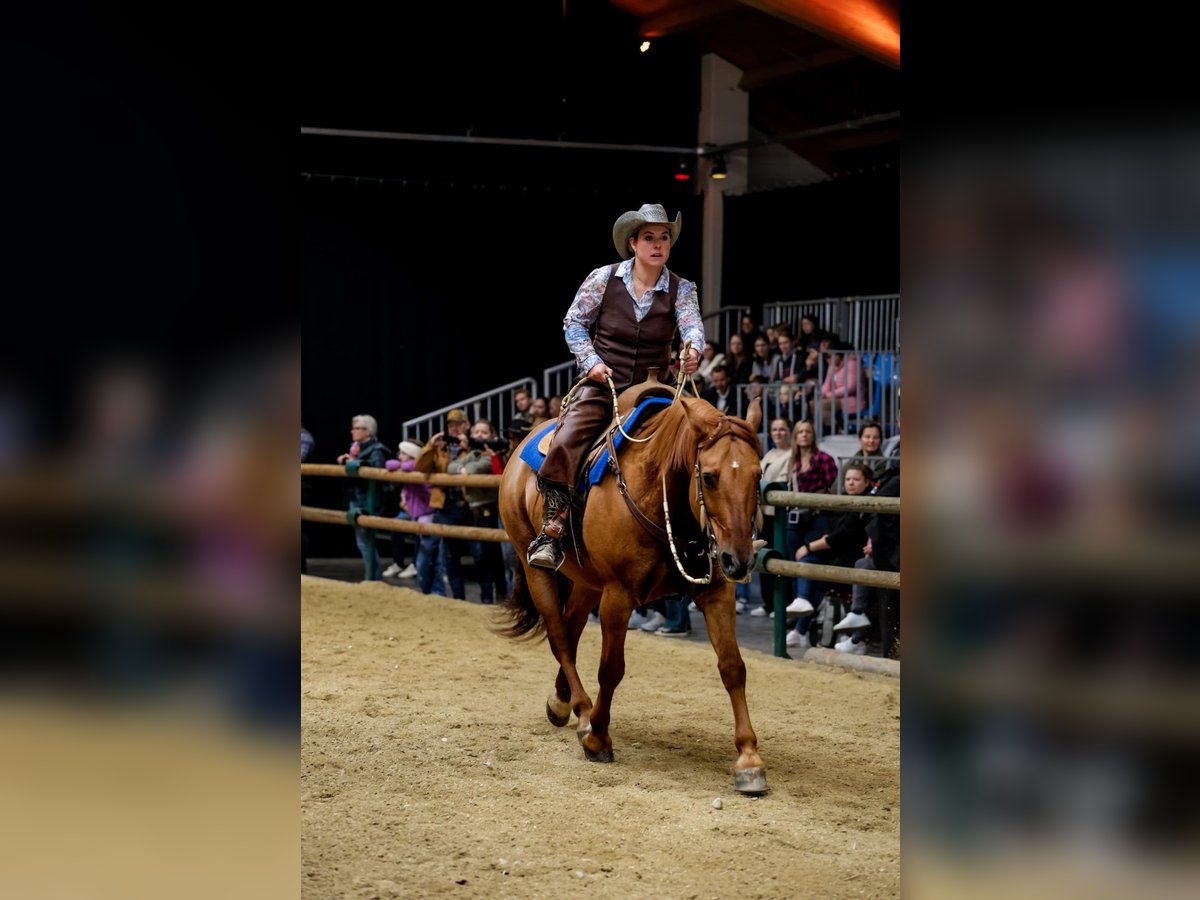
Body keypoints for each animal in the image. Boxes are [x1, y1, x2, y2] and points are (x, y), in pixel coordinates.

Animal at [497, 374, 768, 794]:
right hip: (536, 569)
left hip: (587, 581)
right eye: (709, 477)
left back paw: (563, 703)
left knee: (572, 628)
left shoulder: (716, 591)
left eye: (757, 475)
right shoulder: (618, 595)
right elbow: (611, 668)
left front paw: (749, 760)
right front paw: (598, 738)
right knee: (560, 637)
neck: (661, 491)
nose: (738, 560)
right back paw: (583, 712)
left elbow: (732, 667)